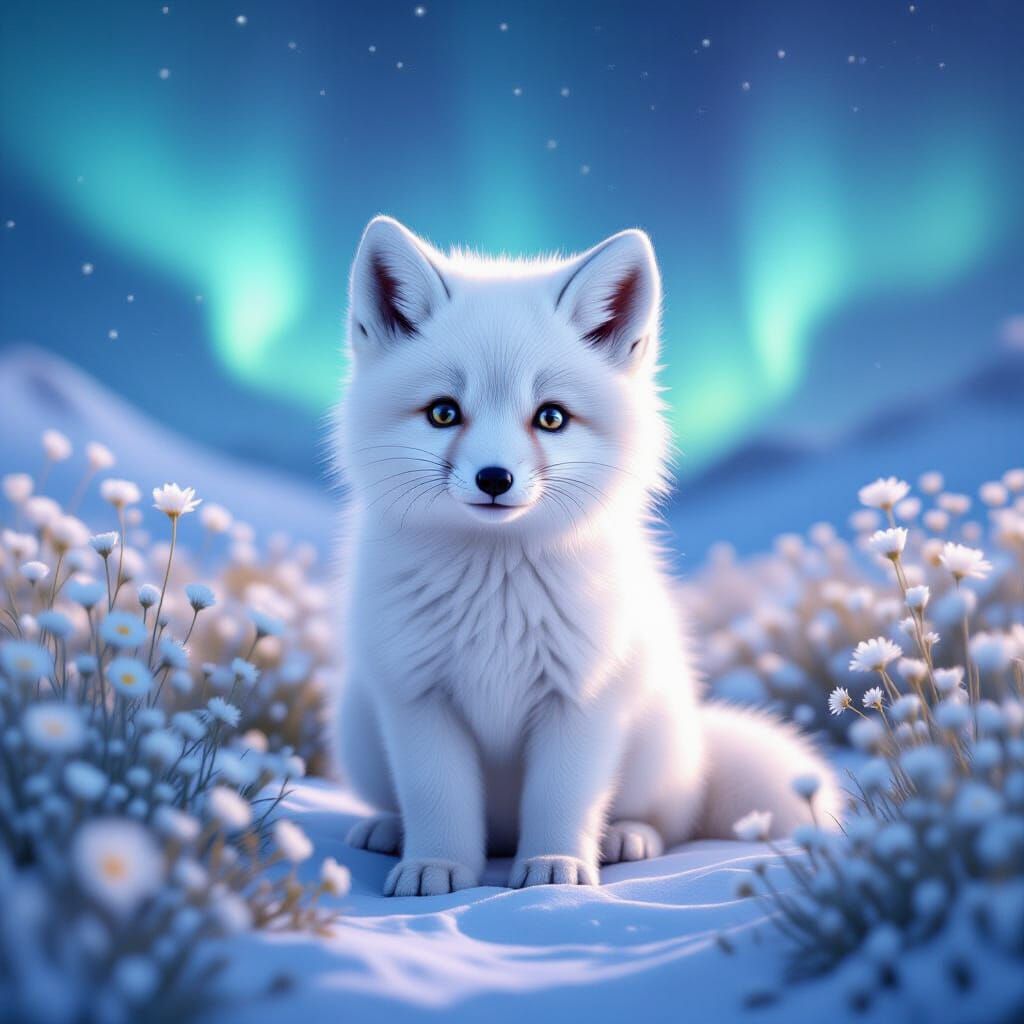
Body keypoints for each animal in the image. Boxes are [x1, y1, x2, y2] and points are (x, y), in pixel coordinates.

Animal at [334, 216, 842, 897]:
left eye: (551, 418)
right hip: (361, 730)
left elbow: (563, 800)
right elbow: (436, 800)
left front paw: (555, 871)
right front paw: (435, 867)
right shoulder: (419, 698)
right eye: (443, 412)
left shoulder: (582, 699)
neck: (496, 592)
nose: (494, 479)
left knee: (669, 819)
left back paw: (627, 838)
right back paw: (388, 831)